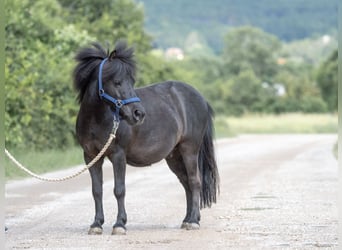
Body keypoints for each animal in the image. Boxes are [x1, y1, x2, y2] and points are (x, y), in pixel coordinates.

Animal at [74, 41, 220, 234]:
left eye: (132, 81)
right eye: (117, 82)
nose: (139, 114)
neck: (97, 119)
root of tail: (201, 99)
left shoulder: (118, 155)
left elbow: (119, 190)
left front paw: (119, 224)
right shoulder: (91, 157)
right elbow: (96, 190)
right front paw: (96, 224)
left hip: (189, 150)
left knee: (195, 181)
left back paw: (194, 222)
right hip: (174, 156)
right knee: (186, 183)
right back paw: (188, 219)